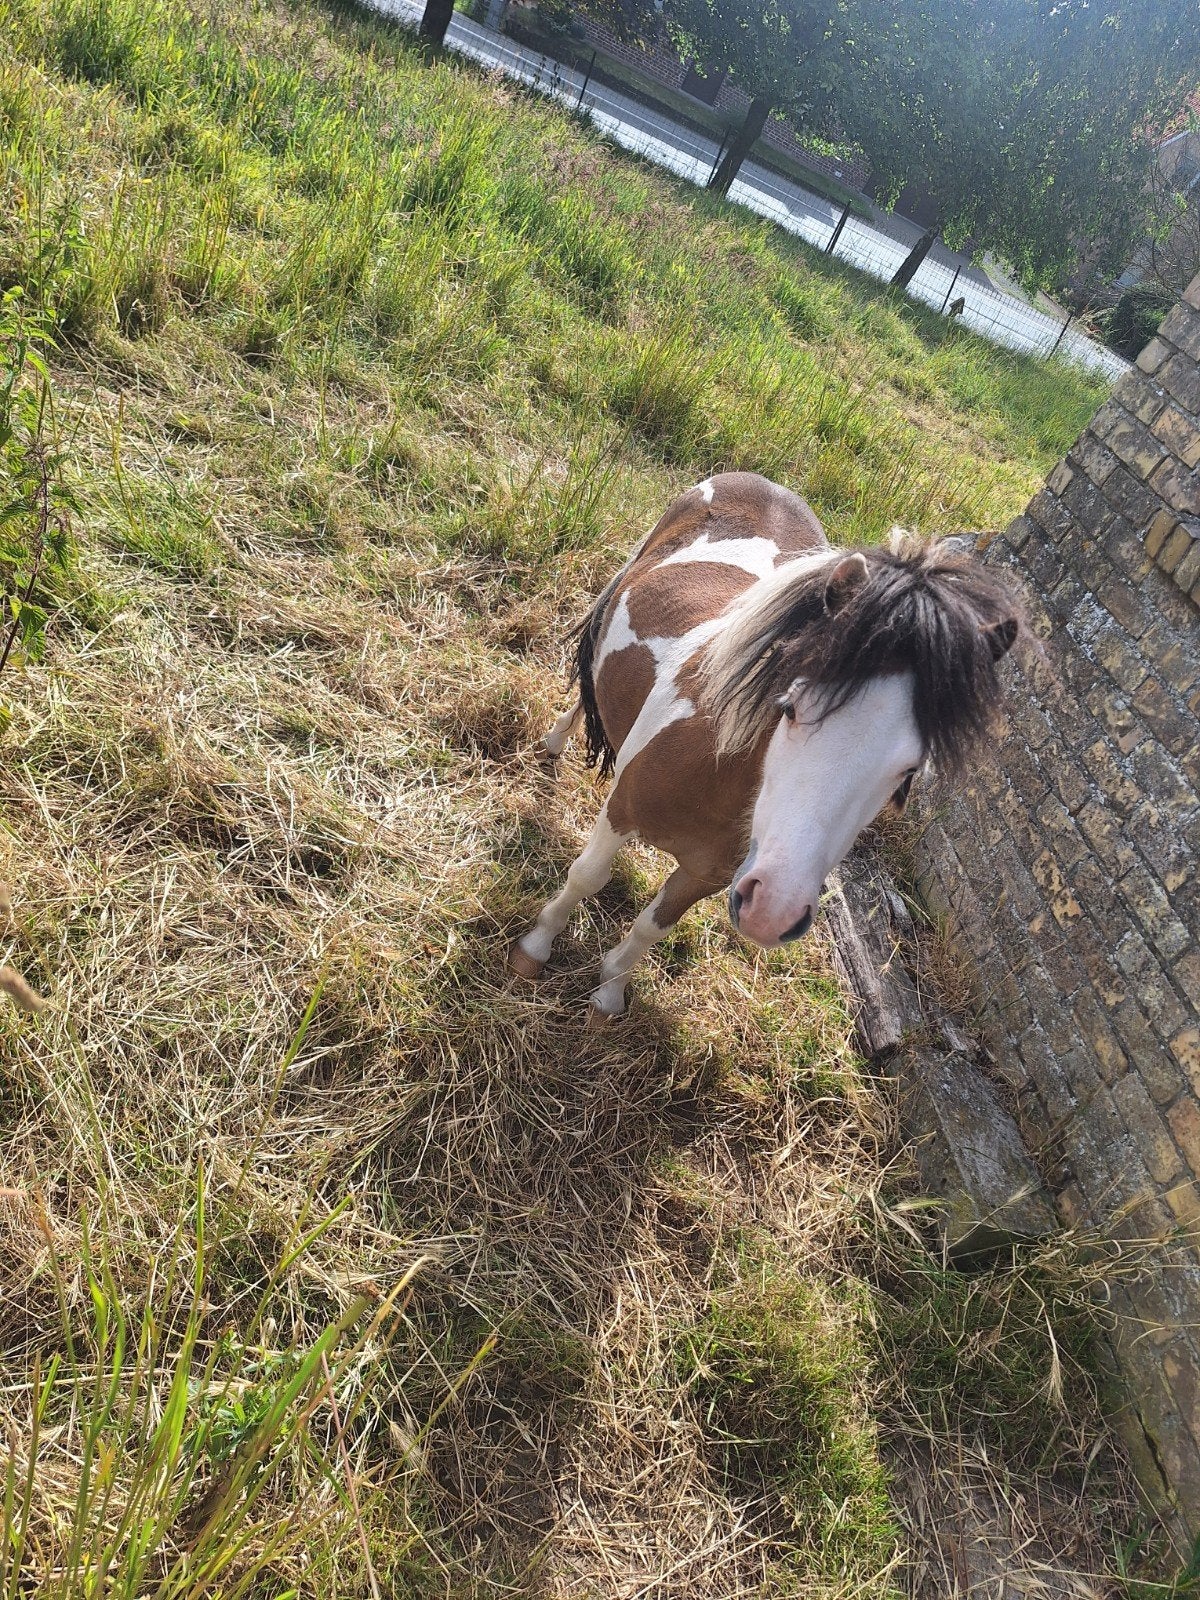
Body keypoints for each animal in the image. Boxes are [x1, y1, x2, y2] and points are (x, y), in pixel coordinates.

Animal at [510, 471, 1020, 1023]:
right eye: (791, 707)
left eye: (907, 774)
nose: (775, 910)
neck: (712, 770)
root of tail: (764, 484)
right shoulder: (619, 812)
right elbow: (587, 876)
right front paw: (534, 949)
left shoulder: (708, 875)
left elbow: (653, 926)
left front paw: (609, 992)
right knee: (585, 687)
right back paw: (554, 743)